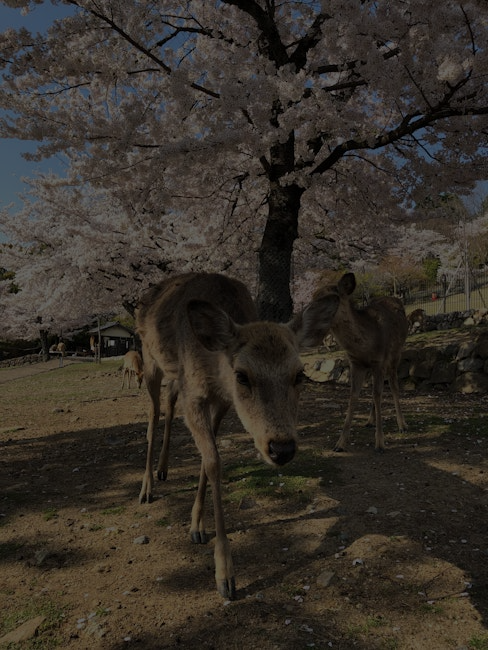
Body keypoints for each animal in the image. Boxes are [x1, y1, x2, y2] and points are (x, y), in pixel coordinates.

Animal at [135, 271, 340, 600]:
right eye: (242, 375)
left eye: (300, 374)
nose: (281, 448)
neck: (212, 367)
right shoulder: (195, 396)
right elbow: (213, 462)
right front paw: (225, 576)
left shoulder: (222, 401)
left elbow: (209, 459)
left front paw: (196, 525)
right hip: (149, 358)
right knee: (153, 413)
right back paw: (147, 488)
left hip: (174, 377)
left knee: (169, 400)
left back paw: (164, 469)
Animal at [313, 272, 408, 453]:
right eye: (313, 298)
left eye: (332, 299)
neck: (365, 346)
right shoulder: (356, 363)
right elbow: (354, 396)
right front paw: (339, 444)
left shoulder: (379, 360)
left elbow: (377, 394)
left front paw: (380, 443)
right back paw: (370, 421)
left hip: (396, 354)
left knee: (393, 385)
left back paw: (402, 425)